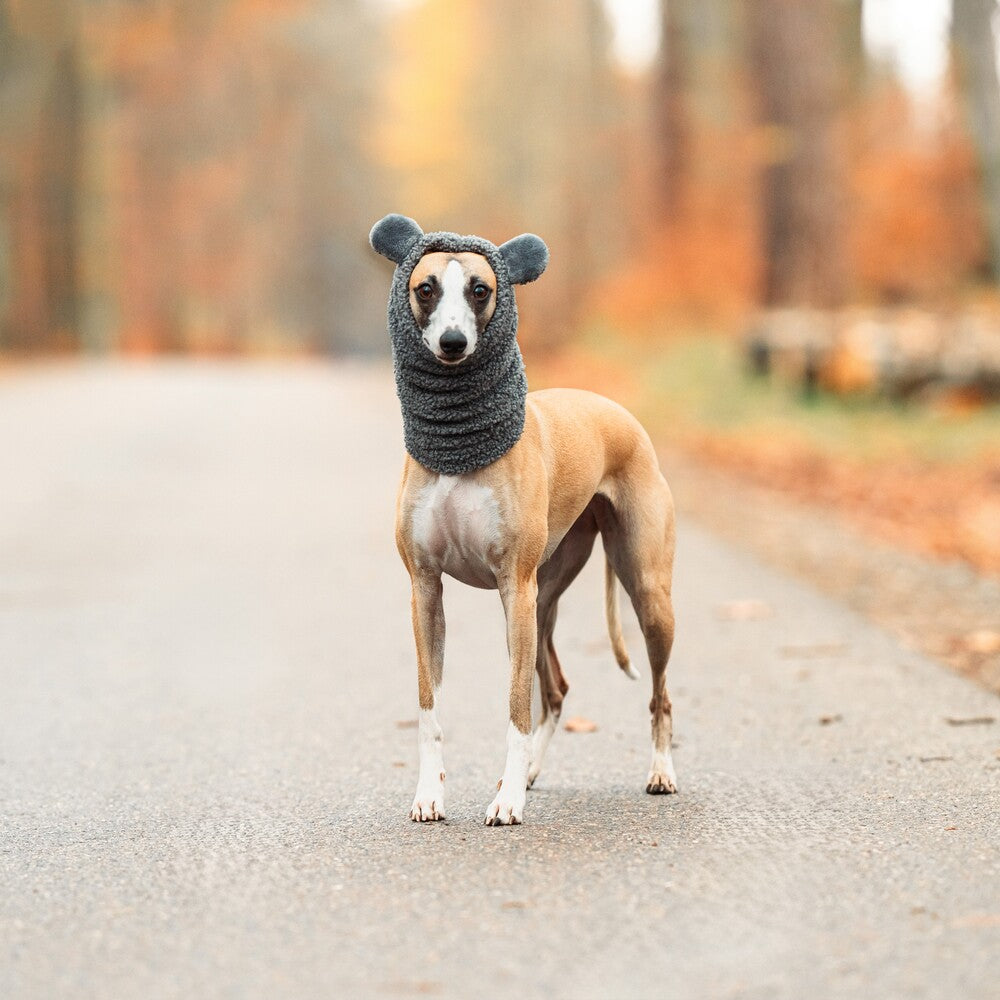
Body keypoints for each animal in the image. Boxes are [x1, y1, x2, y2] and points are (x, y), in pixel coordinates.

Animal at [372, 215, 676, 824]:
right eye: (426, 288)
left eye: (480, 289)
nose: (453, 343)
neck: (458, 453)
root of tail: (619, 415)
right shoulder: (426, 590)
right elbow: (429, 708)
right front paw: (429, 795)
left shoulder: (514, 586)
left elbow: (514, 706)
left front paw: (506, 802)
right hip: (543, 603)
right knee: (556, 688)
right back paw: (533, 770)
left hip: (640, 594)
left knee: (659, 693)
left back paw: (660, 771)